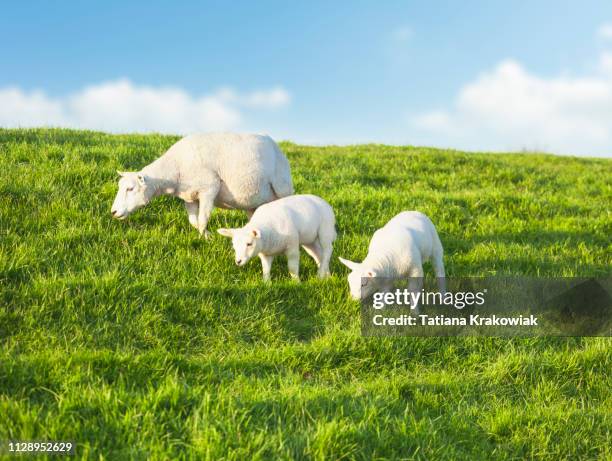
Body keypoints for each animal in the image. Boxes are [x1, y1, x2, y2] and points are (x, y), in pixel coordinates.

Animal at [110, 131, 294, 235]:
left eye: (130, 188)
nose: (113, 212)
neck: (175, 167)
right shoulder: (189, 196)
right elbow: (194, 221)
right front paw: (202, 234)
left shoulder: (209, 188)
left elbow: (203, 218)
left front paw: (205, 237)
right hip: (253, 201)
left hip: (283, 188)